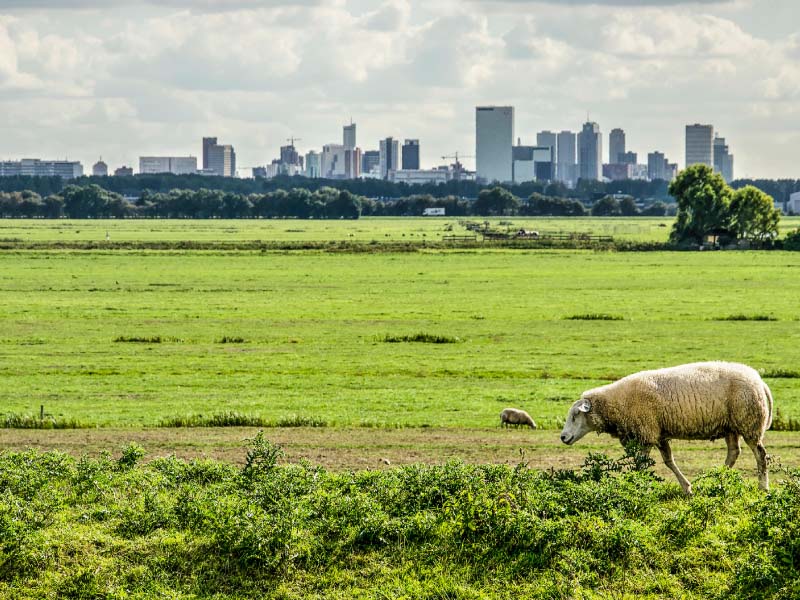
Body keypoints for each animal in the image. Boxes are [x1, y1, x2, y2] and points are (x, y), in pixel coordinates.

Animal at [560, 360, 772, 492]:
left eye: (576, 415)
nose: (563, 437)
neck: (617, 403)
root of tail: (758, 380)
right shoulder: (657, 434)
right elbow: (669, 461)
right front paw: (687, 488)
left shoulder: (646, 433)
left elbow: (641, 464)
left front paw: (636, 485)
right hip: (731, 427)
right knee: (734, 453)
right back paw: (716, 479)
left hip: (749, 423)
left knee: (760, 455)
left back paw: (763, 487)